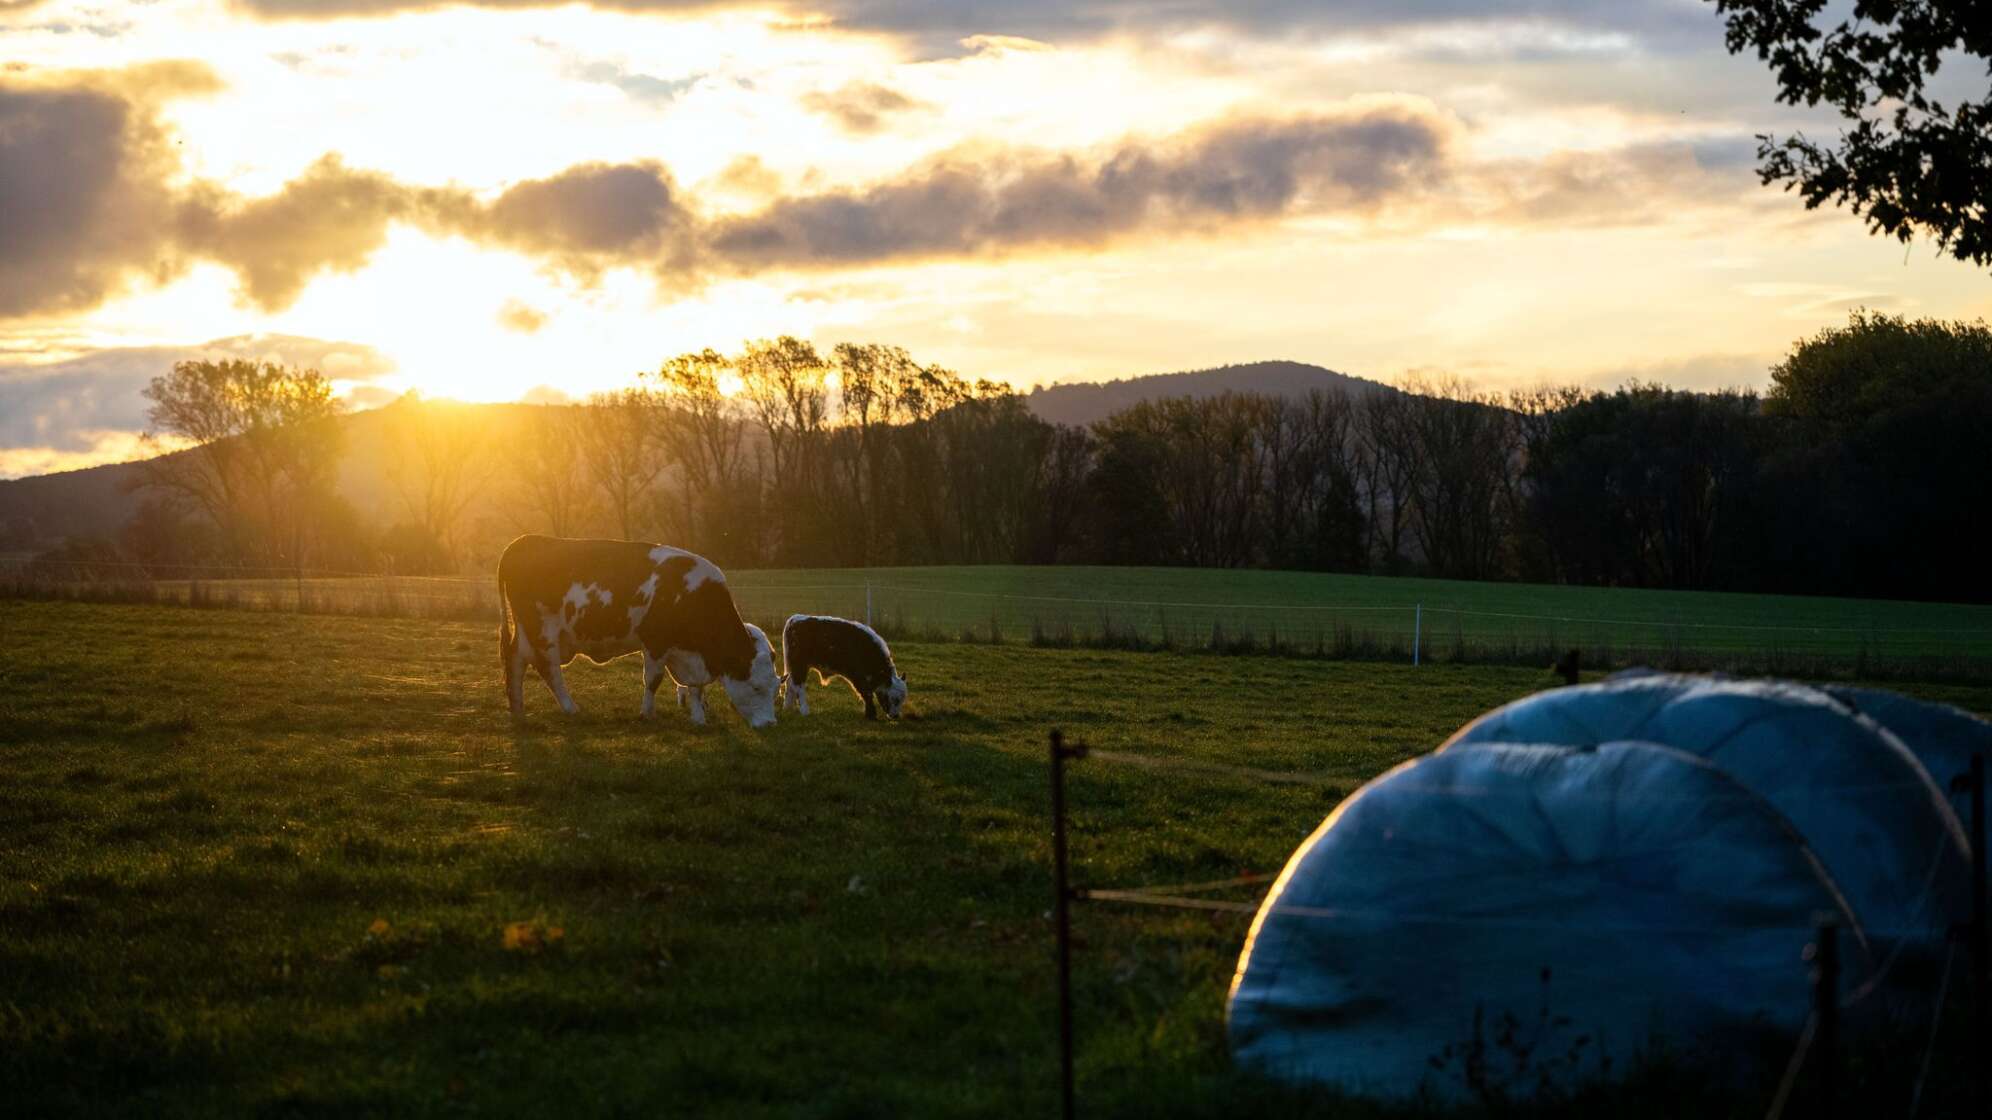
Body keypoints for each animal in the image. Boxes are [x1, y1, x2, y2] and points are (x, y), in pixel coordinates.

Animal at [496, 530, 776, 725]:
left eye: (776, 687)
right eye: (756, 687)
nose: (770, 724)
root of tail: (525, 540)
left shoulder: (687, 653)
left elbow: (695, 688)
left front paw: (698, 719)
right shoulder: (655, 642)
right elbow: (653, 680)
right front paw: (647, 713)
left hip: (525, 631)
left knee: (516, 660)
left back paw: (518, 711)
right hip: (544, 631)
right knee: (549, 669)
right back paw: (570, 708)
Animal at [780, 609, 908, 713]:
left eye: (902, 699)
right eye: (895, 699)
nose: (896, 716)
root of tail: (795, 619)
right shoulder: (858, 676)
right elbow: (866, 694)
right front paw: (871, 714)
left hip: (794, 666)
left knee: (790, 683)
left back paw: (788, 708)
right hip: (799, 665)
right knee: (798, 686)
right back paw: (804, 710)